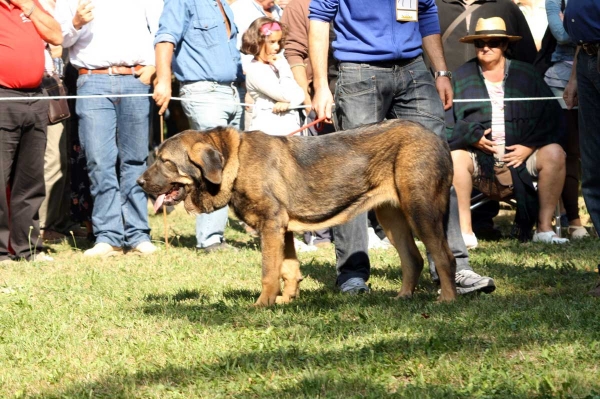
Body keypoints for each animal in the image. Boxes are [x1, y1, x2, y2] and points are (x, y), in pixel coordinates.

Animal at [138, 119, 458, 306]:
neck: (235, 162)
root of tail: (436, 138)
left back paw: (447, 299)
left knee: (444, 256)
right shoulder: (284, 229)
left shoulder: (270, 225)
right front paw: (286, 299)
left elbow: (269, 271)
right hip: (391, 217)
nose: (139, 182)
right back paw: (403, 297)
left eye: (166, 162)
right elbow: (288, 268)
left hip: (421, 210)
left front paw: (262, 304)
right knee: (413, 258)